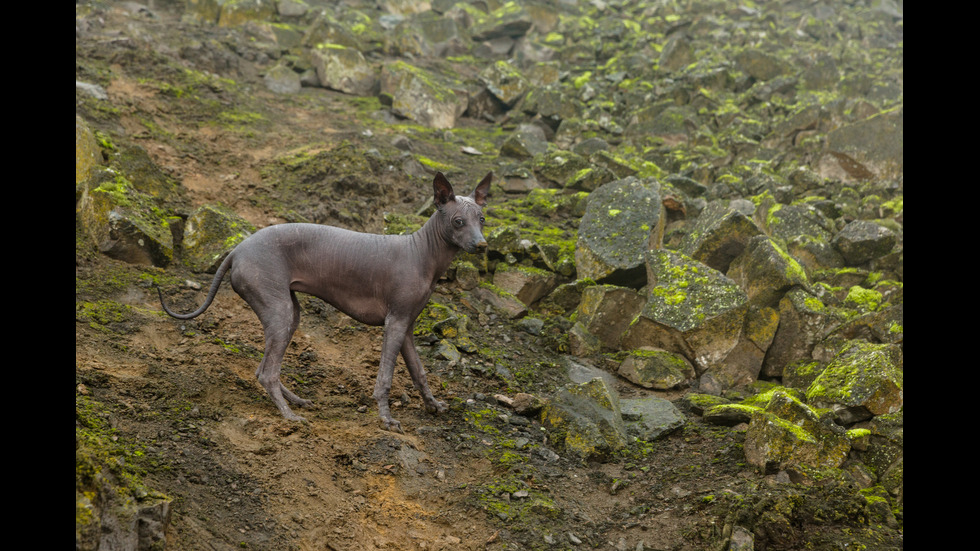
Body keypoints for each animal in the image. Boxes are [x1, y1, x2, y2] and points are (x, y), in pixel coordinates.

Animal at [163, 171, 498, 432]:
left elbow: (419, 372)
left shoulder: (406, 327)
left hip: (288, 313)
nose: (482, 245)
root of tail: (237, 249)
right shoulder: (394, 323)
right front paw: (386, 419)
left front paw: (432, 404)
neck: (421, 253)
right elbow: (385, 377)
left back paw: (295, 400)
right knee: (267, 372)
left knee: (263, 367)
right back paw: (289, 415)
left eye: (481, 219)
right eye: (458, 222)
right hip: (278, 310)